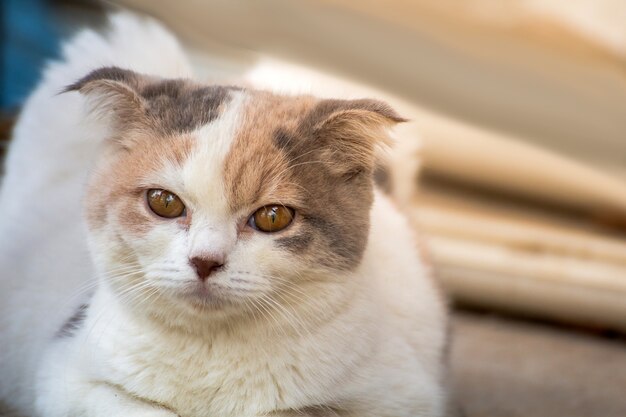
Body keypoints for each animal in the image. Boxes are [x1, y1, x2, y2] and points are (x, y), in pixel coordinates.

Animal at [0, 11, 448, 414]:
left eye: (272, 217)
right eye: (164, 202)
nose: (205, 260)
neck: (210, 353)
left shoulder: (402, 394)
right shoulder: (66, 374)